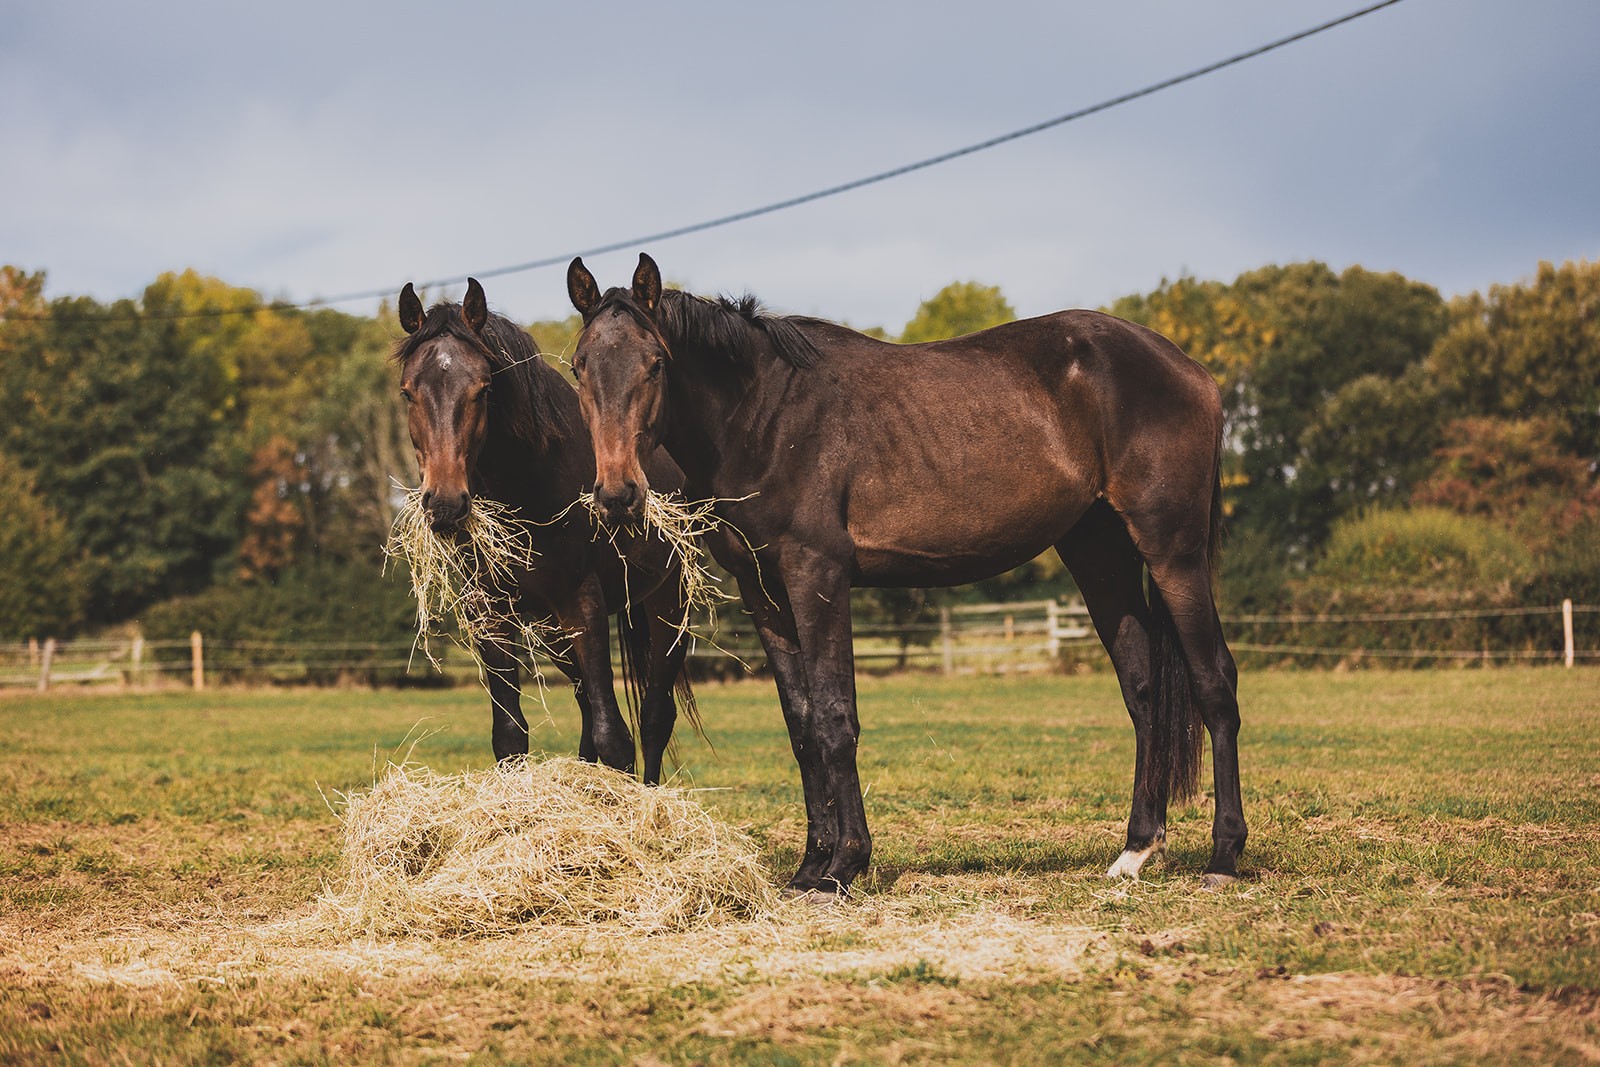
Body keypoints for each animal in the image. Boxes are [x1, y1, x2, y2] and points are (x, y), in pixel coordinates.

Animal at [394, 277, 696, 784]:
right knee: (587, 708)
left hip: (666, 608)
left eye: (483, 389)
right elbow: (511, 737)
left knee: (655, 717)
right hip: (555, 632)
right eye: (407, 392)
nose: (446, 504)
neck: (529, 485)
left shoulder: (584, 606)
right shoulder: (491, 615)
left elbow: (615, 737)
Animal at [565, 253, 1244, 895]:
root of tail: (1190, 369)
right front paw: (810, 866)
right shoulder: (766, 594)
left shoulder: (818, 577)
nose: (618, 495)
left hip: (1173, 553)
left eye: (656, 363)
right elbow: (802, 725)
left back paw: (1224, 857)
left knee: (1215, 683)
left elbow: (836, 717)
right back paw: (1135, 851)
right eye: (578, 368)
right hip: (1099, 555)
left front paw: (844, 865)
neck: (764, 417)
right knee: (1143, 689)